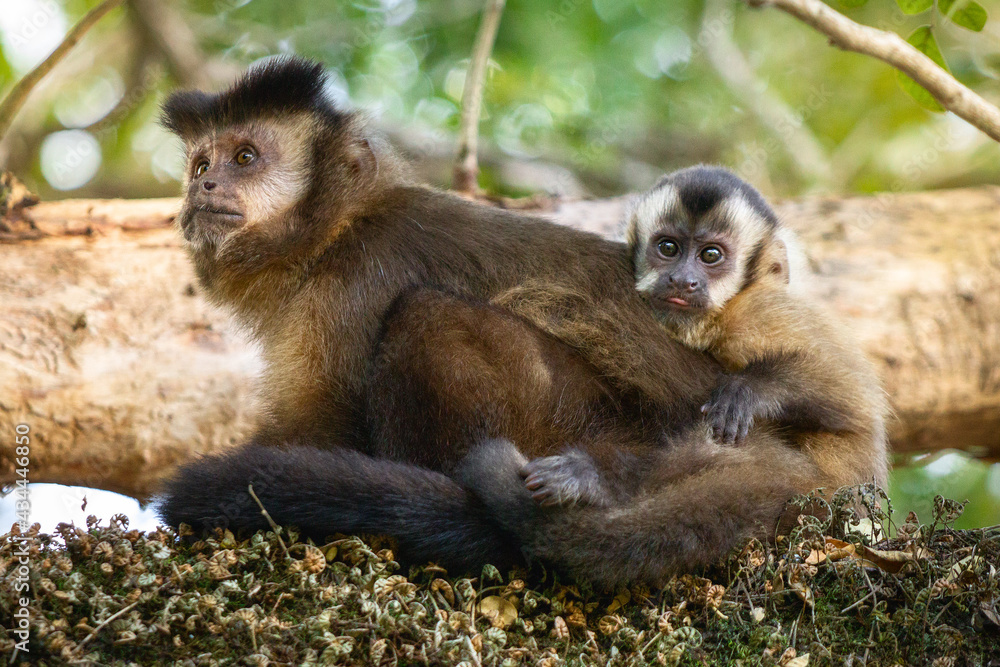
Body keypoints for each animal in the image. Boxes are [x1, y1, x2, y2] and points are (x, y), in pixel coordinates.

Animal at [524, 166, 892, 506]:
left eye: (710, 255)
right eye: (668, 248)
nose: (682, 280)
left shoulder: (754, 314)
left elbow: (854, 396)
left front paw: (748, 390)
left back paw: (600, 480)